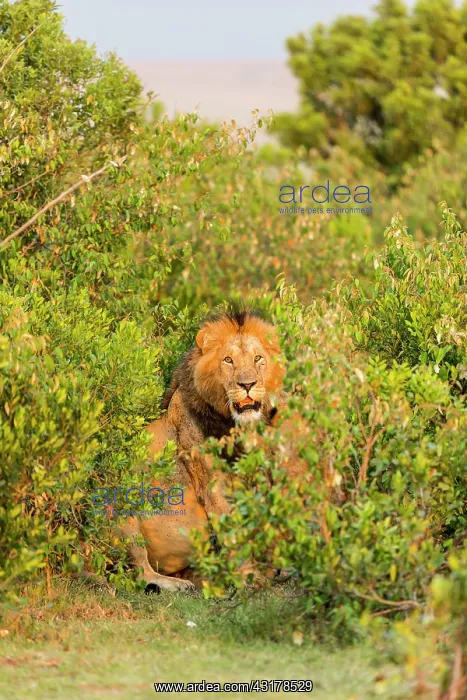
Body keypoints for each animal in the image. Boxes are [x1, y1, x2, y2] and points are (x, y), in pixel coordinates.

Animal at [123, 309, 285, 593]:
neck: (235, 427)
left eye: (258, 359)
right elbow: (235, 532)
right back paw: (175, 584)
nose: (247, 384)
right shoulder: (212, 486)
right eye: (228, 360)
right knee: (141, 573)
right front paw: (249, 577)